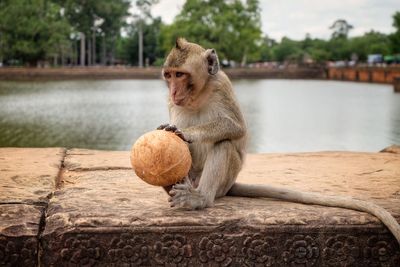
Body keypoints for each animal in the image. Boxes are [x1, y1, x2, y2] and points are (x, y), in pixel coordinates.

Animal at [158, 37, 400, 245]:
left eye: (180, 74)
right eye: (169, 76)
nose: (174, 91)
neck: (197, 95)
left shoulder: (221, 85)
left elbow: (236, 127)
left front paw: (186, 133)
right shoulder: (171, 102)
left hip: (225, 181)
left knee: (224, 144)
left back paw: (201, 199)